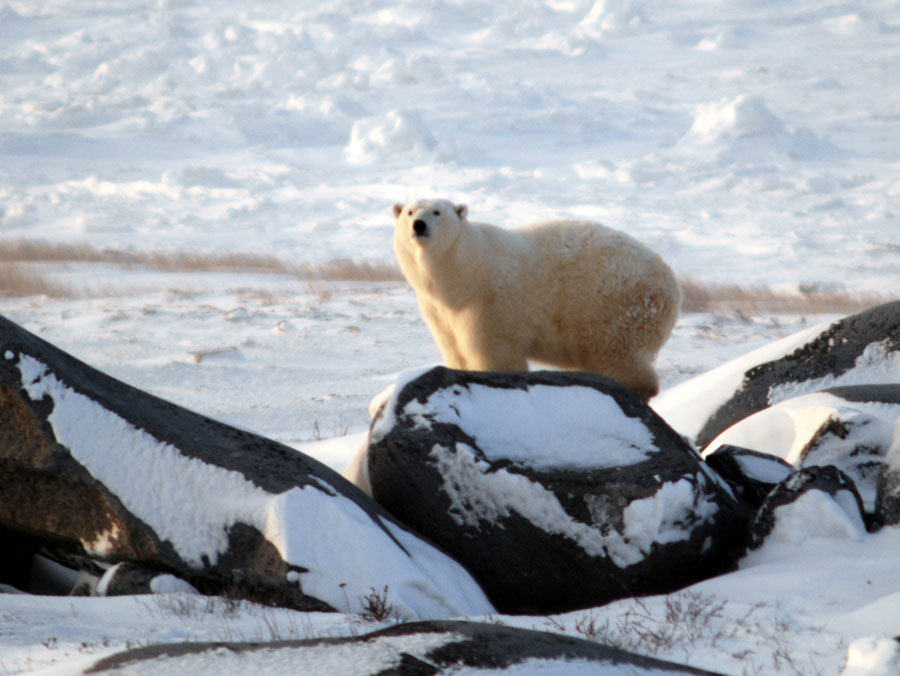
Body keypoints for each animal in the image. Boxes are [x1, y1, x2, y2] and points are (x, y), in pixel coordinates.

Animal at [390, 201, 680, 402]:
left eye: (437, 212)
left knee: (616, 354)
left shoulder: (492, 302)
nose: (419, 225)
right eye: (409, 212)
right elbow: (454, 348)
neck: (467, 273)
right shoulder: (439, 311)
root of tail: (672, 285)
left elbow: (494, 352)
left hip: (616, 305)